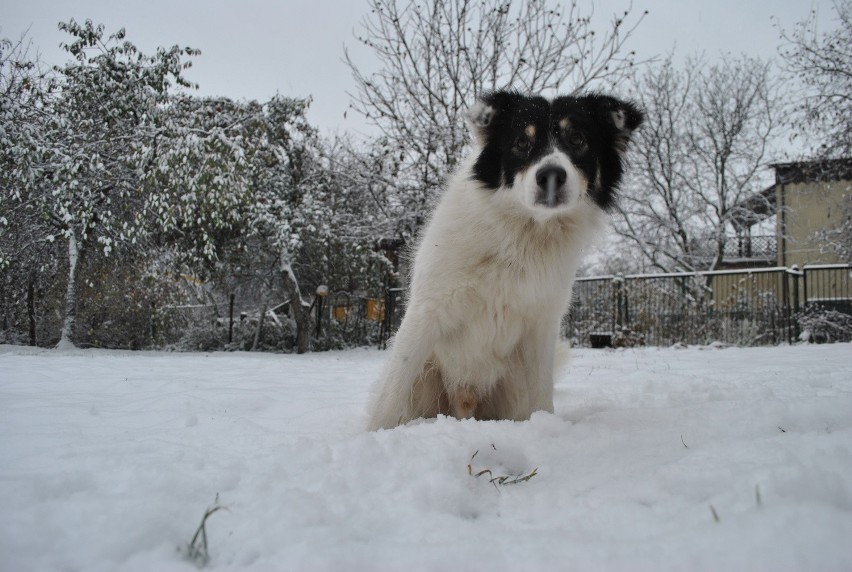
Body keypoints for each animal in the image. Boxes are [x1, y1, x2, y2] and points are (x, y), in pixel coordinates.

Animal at [366, 90, 640, 428]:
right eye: (522, 142)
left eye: (577, 139)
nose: (551, 176)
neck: (522, 234)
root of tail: (465, 403)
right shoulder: (428, 311)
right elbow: (391, 393)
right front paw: (372, 434)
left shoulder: (541, 324)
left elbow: (542, 392)